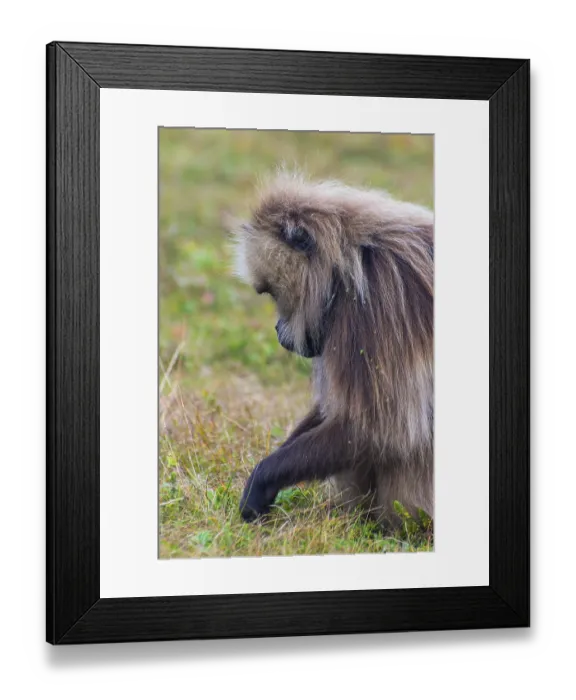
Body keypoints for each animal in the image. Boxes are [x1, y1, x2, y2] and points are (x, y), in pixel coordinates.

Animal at [232, 173, 434, 527]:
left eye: (272, 295)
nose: (277, 330)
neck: (348, 265)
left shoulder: (376, 305)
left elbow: (376, 429)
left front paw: (261, 481)